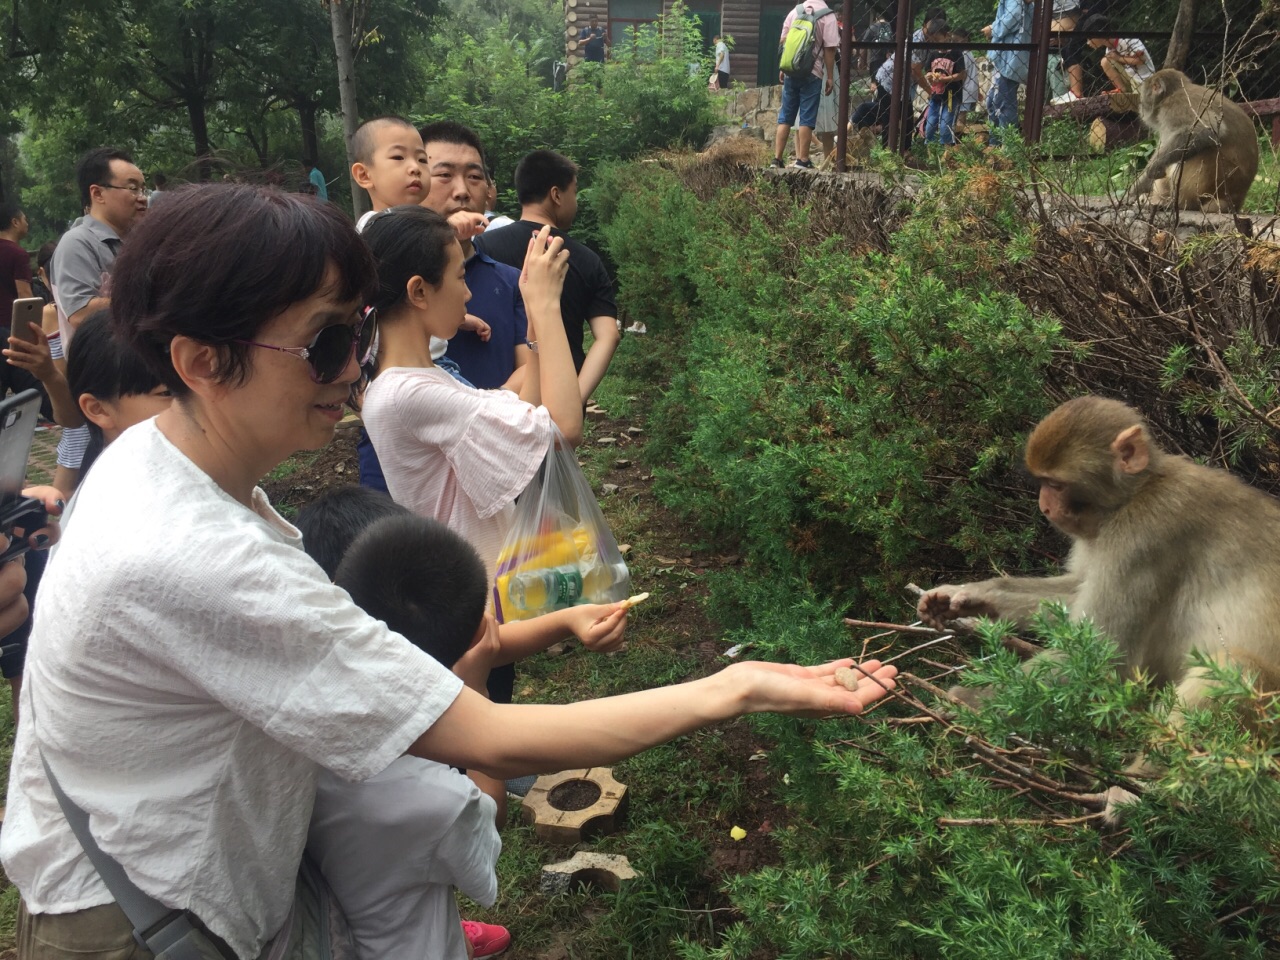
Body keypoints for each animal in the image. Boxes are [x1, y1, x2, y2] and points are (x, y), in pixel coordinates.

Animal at [921, 399, 1280, 819]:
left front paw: (966, 701)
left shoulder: (1143, 535)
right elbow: (1076, 593)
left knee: (1233, 671)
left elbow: (1100, 654)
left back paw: (1139, 794)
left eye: (1057, 484)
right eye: (1042, 482)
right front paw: (970, 595)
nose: (1044, 507)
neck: (1138, 492)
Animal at [1131, 68, 1259, 215]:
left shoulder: (1176, 105)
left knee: (1204, 152)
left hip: (1221, 180)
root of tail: (1235, 202)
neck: (1173, 93)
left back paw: (1179, 203)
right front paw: (1132, 193)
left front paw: (1153, 168)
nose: (1140, 106)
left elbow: (1206, 130)